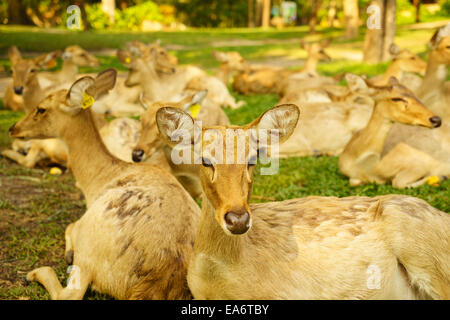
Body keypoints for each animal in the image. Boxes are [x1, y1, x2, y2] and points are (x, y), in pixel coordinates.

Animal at [7, 68, 199, 300]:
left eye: (41, 108)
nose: (13, 128)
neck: (96, 179)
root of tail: (157, 281)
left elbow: (71, 225)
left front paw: (67, 253)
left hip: (90, 249)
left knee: (70, 292)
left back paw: (35, 272)